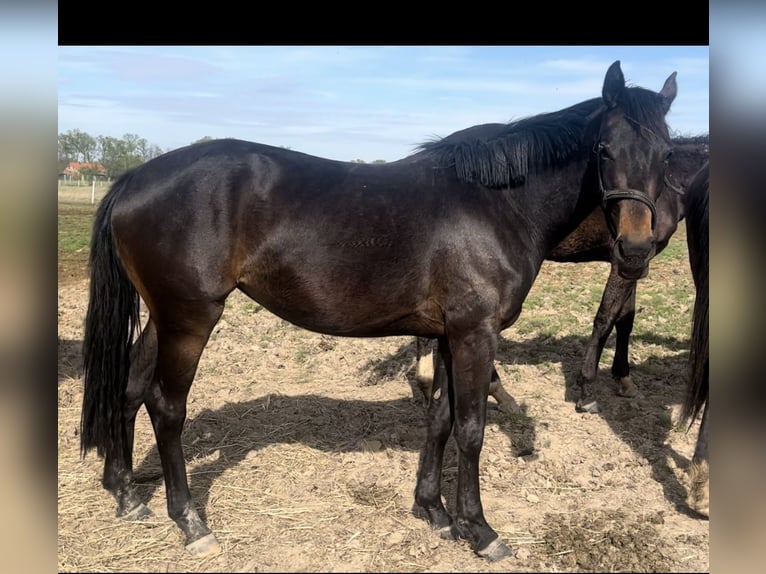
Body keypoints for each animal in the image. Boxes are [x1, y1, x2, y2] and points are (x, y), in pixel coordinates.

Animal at [78, 62, 680, 564]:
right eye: (603, 149)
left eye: (667, 154)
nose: (634, 250)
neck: (498, 204)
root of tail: (133, 179)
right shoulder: (475, 334)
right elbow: (471, 429)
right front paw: (480, 529)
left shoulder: (447, 334)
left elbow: (439, 418)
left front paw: (433, 511)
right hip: (190, 318)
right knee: (165, 406)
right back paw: (191, 522)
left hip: (164, 316)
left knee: (129, 388)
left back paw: (127, 494)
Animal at [416, 135, 712, 414]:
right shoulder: (625, 261)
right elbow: (605, 319)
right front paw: (586, 391)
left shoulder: (634, 263)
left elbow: (625, 319)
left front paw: (624, 379)